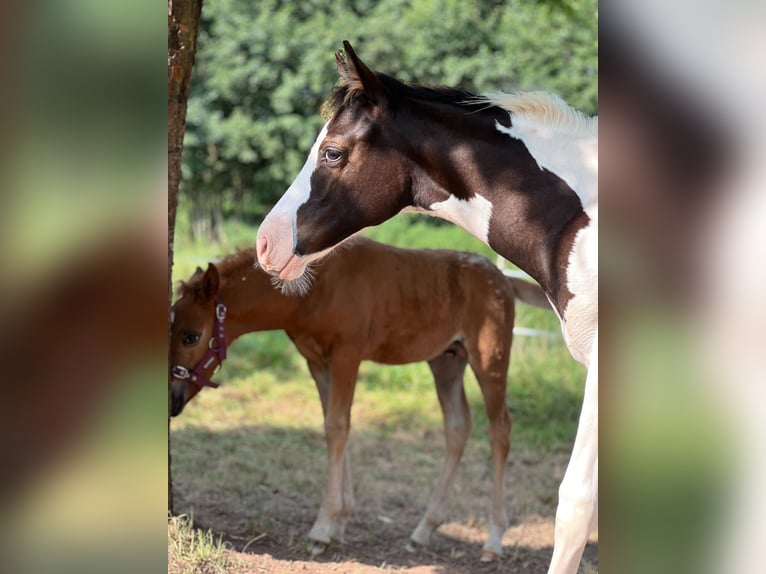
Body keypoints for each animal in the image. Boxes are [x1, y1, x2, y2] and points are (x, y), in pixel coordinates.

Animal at [170, 237, 552, 564]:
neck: (315, 288)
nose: (172, 400)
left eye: (191, 336)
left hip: (490, 361)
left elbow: (337, 426)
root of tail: (503, 278)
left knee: (500, 431)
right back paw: (423, 530)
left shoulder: (347, 354)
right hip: (446, 361)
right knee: (458, 426)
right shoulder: (316, 360)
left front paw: (323, 529)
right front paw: (339, 523)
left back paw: (493, 539)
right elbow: (335, 424)